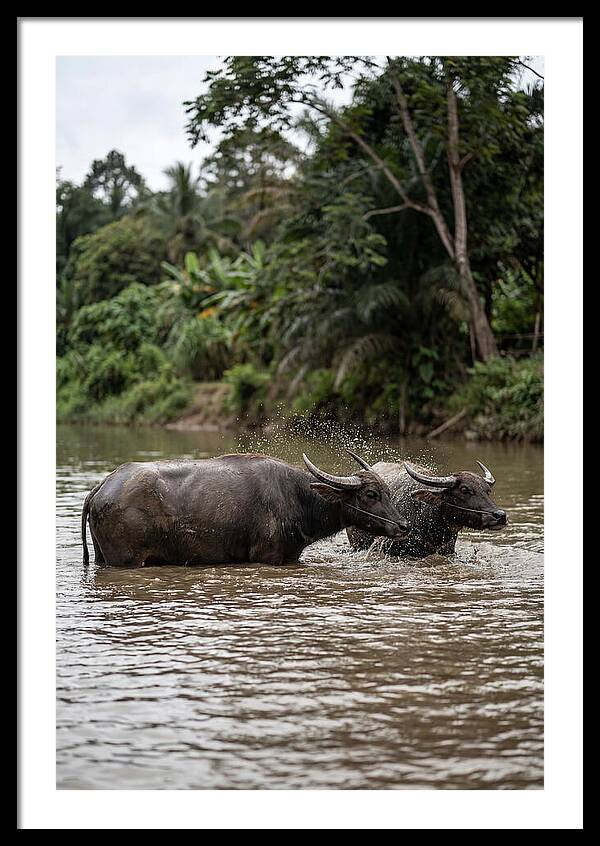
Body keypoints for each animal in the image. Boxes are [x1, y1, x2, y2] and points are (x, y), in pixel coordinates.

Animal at [81, 450, 409, 567]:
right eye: (370, 494)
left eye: (388, 492)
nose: (403, 525)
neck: (297, 498)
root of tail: (102, 486)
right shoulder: (267, 556)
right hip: (127, 561)